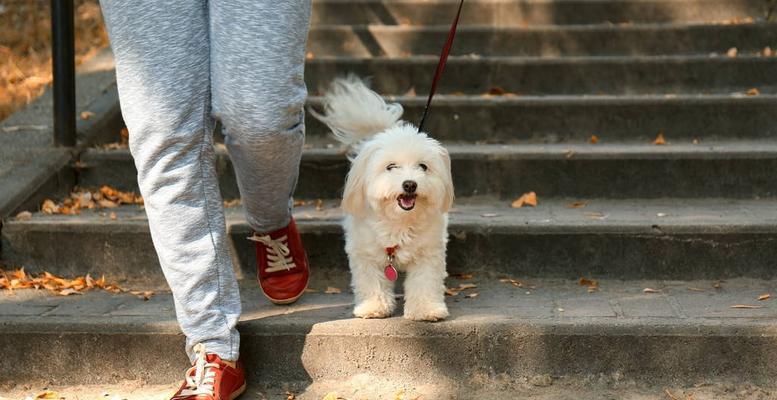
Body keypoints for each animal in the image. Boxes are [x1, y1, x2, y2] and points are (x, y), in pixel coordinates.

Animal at [310, 76, 454, 322]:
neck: (398, 222)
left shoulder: (428, 253)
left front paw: (425, 309)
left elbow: (425, 282)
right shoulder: (365, 253)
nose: (409, 184)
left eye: (423, 166)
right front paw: (373, 307)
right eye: (391, 166)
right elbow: (371, 282)